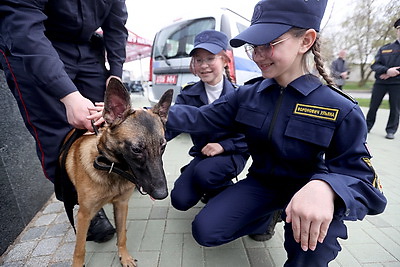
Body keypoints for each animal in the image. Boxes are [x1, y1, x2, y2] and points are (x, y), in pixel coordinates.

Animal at [63, 78, 173, 267]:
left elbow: (122, 235)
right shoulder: (84, 215)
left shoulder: (121, 205)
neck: (112, 169)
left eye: (163, 146)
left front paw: (125, 257)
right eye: (136, 149)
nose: (162, 194)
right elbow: (79, 249)